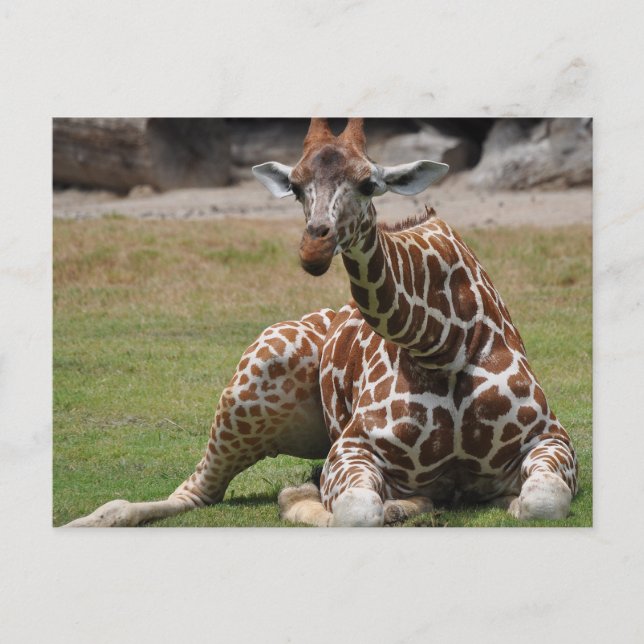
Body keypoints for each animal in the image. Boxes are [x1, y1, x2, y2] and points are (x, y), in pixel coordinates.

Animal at [65, 118, 577, 527]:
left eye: (369, 183)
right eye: (296, 186)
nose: (314, 246)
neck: (442, 343)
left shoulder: (550, 436)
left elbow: (543, 501)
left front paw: (504, 500)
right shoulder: (351, 447)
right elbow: (355, 511)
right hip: (254, 378)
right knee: (193, 493)